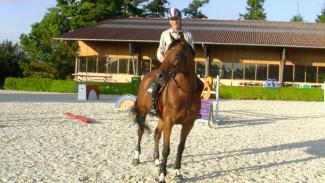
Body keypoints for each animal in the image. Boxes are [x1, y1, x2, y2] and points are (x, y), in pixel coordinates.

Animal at [130, 32, 201, 182]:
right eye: (166, 52)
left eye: (178, 55)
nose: (160, 76)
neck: (184, 93)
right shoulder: (169, 122)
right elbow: (166, 149)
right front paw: (162, 175)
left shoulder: (188, 124)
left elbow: (180, 147)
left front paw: (177, 171)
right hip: (143, 113)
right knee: (140, 131)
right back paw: (136, 158)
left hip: (161, 118)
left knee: (156, 134)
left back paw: (156, 160)